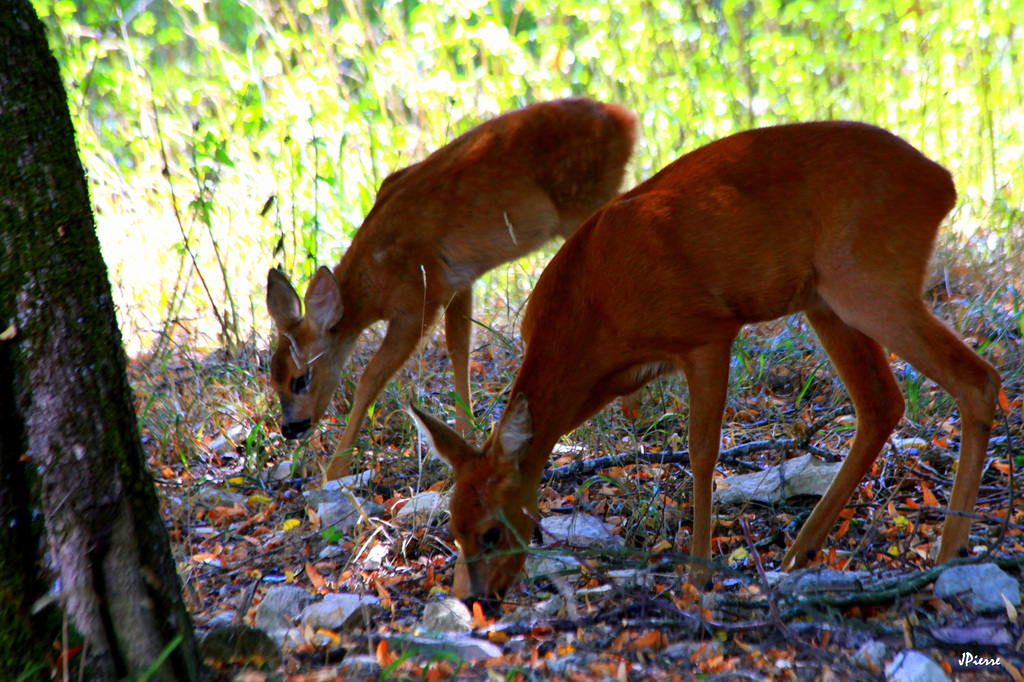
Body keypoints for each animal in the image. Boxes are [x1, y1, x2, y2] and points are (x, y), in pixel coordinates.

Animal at [268, 96, 634, 477]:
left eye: (300, 379)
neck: (373, 283)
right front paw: (464, 435)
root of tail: (624, 120)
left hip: (581, 203)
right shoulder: (458, 282)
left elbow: (371, 378)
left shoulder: (417, 299)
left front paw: (334, 472)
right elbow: (459, 349)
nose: (290, 428)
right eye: (273, 378)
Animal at [407, 120, 999, 602]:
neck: (591, 313)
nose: (475, 599)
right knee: (882, 403)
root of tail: (942, 183)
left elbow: (701, 452)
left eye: (491, 530)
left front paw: (697, 572)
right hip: (824, 300)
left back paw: (947, 557)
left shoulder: (707, 332)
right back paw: (800, 553)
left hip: (869, 281)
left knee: (978, 379)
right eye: (453, 527)